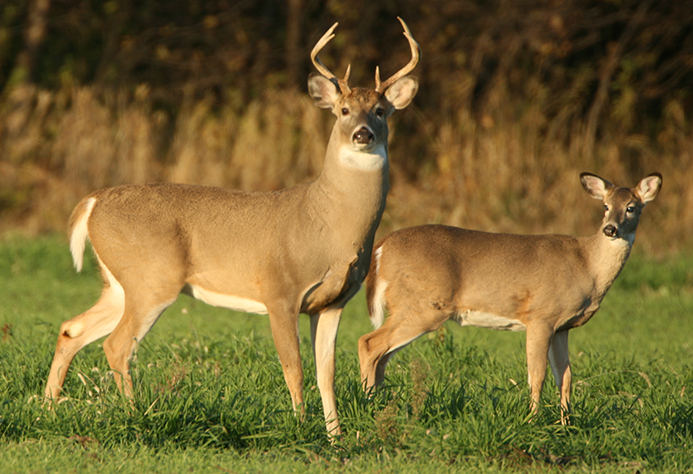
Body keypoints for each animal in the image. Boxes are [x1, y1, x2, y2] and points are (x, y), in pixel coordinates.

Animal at [44, 18, 420, 437]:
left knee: (72, 329)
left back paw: (49, 408)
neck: (327, 224)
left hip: (119, 283)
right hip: (151, 277)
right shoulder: (280, 291)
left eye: (381, 111)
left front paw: (335, 437)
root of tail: (92, 202)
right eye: (343, 110)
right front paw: (300, 427)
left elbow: (327, 373)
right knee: (116, 345)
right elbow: (295, 368)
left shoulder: (333, 302)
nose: (362, 134)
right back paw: (134, 414)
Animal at [358, 172, 662, 424]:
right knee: (369, 343)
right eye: (605, 206)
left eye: (631, 207)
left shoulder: (562, 327)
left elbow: (565, 377)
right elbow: (536, 376)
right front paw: (532, 420)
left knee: (382, 356)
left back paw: (379, 403)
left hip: (412, 307)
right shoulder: (541, 316)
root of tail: (382, 247)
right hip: (423, 306)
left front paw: (566, 423)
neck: (588, 265)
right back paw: (368, 402)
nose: (610, 229)